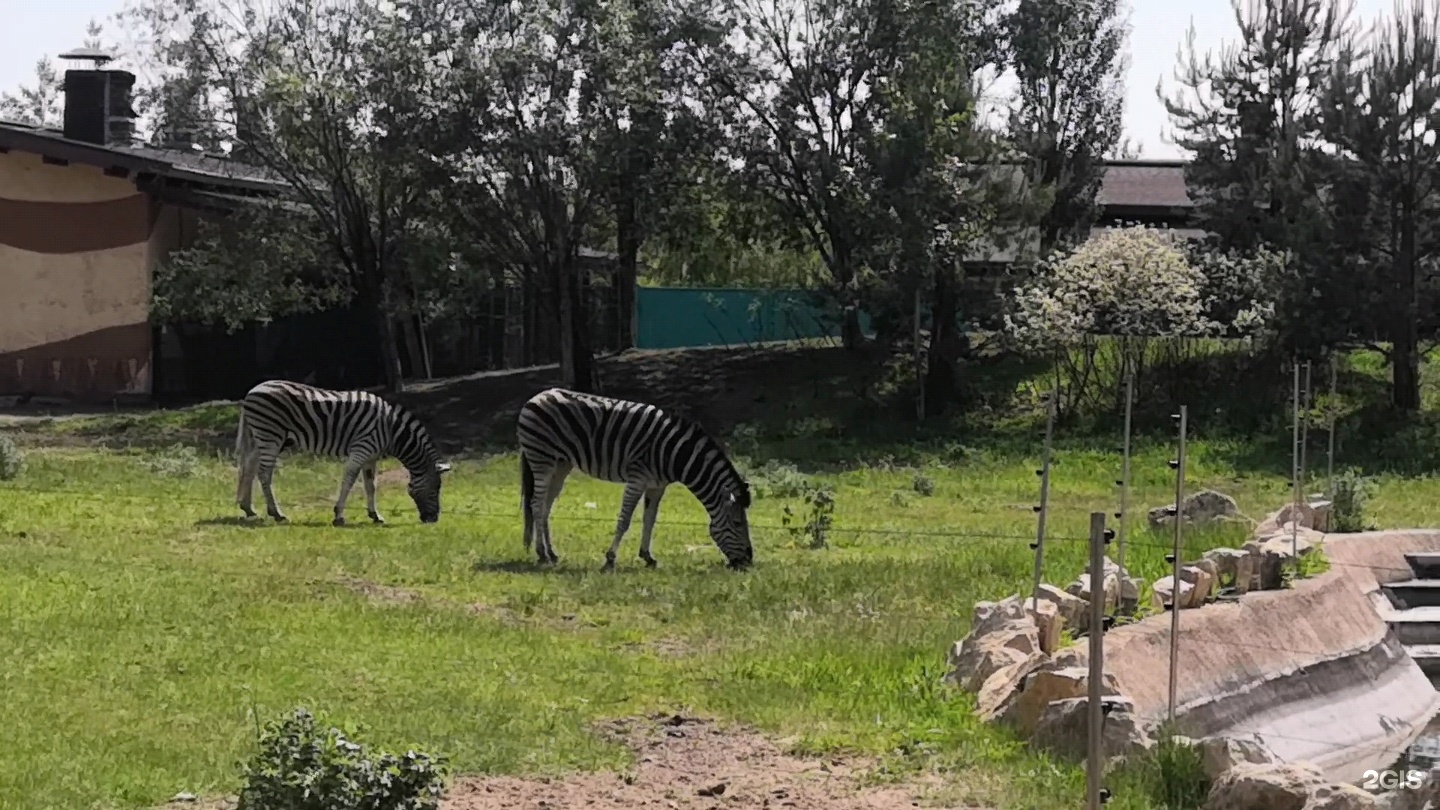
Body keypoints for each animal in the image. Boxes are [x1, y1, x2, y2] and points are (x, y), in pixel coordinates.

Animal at [233, 377, 452, 524]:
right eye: (435, 489)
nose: (433, 519)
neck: (391, 430)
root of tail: (252, 391)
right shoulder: (362, 448)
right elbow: (349, 479)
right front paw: (339, 515)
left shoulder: (371, 457)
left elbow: (371, 485)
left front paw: (375, 515)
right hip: (271, 436)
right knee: (264, 473)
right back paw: (276, 513)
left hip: (264, 437)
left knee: (250, 465)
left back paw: (248, 509)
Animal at [518, 383, 754, 567]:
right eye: (738, 523)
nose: (749, 561)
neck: (675, 453)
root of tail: (537, 396)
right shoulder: (637, 478)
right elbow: (625, 519)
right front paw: (610, 558)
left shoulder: (657, 485)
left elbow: (650, 519)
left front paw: (647, 556)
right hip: (542, 459)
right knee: (536, 504)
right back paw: (542, 554)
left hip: (561, 464)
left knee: (546, 506)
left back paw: (551, 553)